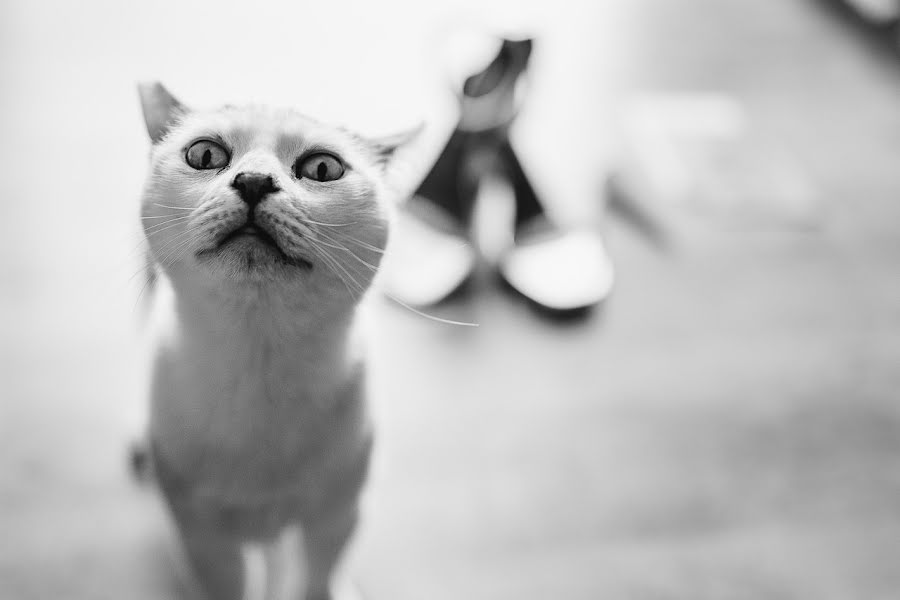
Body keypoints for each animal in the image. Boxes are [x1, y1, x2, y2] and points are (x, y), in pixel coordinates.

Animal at [135, 83, 414, 600]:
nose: (254, 181)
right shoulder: (204, 536)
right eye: (205, 155)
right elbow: (226, 586)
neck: (259, 365)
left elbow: (318, 577)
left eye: (322, 168)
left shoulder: (337, 516)